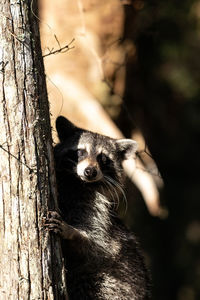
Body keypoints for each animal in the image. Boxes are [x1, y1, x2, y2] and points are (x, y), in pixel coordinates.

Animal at [46, 116, 150, 300]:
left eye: (103, 158)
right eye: (81, 151)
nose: (90, 171)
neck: (79, 183)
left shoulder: (97, 213)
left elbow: (96, 246)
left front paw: (72, 232)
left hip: (116, 285)